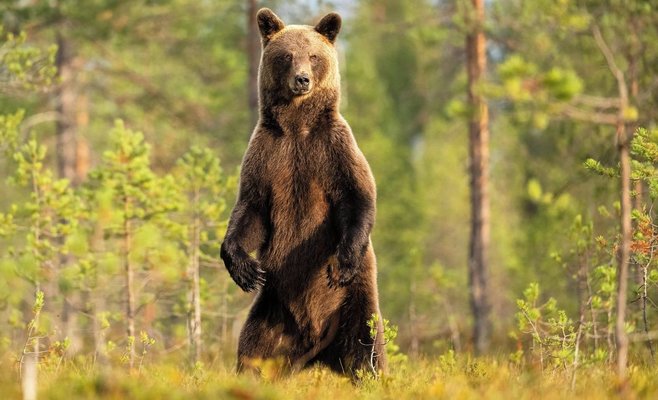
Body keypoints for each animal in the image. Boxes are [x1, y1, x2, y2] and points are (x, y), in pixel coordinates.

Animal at [220, 8, 387, 377]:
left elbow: (357, 197)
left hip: (355, 302)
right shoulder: (267, 156)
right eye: (286, 56)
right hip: (271, 311)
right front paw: (244, 269)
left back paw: (372, 374)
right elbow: (250, 211)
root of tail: (316, 349)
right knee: (252, 350)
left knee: (365, 348)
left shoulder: (332, 150)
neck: (297, 127)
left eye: (313, 56)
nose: (302, 80)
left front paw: (341, 263)